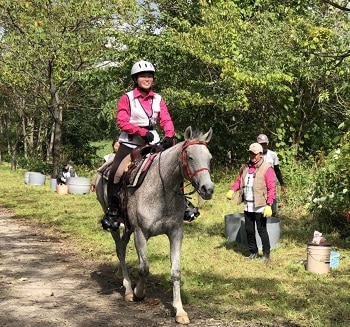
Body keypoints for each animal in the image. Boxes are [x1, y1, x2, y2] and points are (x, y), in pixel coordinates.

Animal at [95, 126, 215, 326]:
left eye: (209, 158)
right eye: (190, 157)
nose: (208, 189)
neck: (162, 190)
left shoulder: (176, 232)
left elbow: (175, 271)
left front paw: (179, 310)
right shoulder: (140, 233)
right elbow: (144, 268)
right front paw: (139, 292)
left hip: (128, 228)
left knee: (122, 247)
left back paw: (121, 276)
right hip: (116, 224)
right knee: (120, 249)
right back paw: (128, 288)